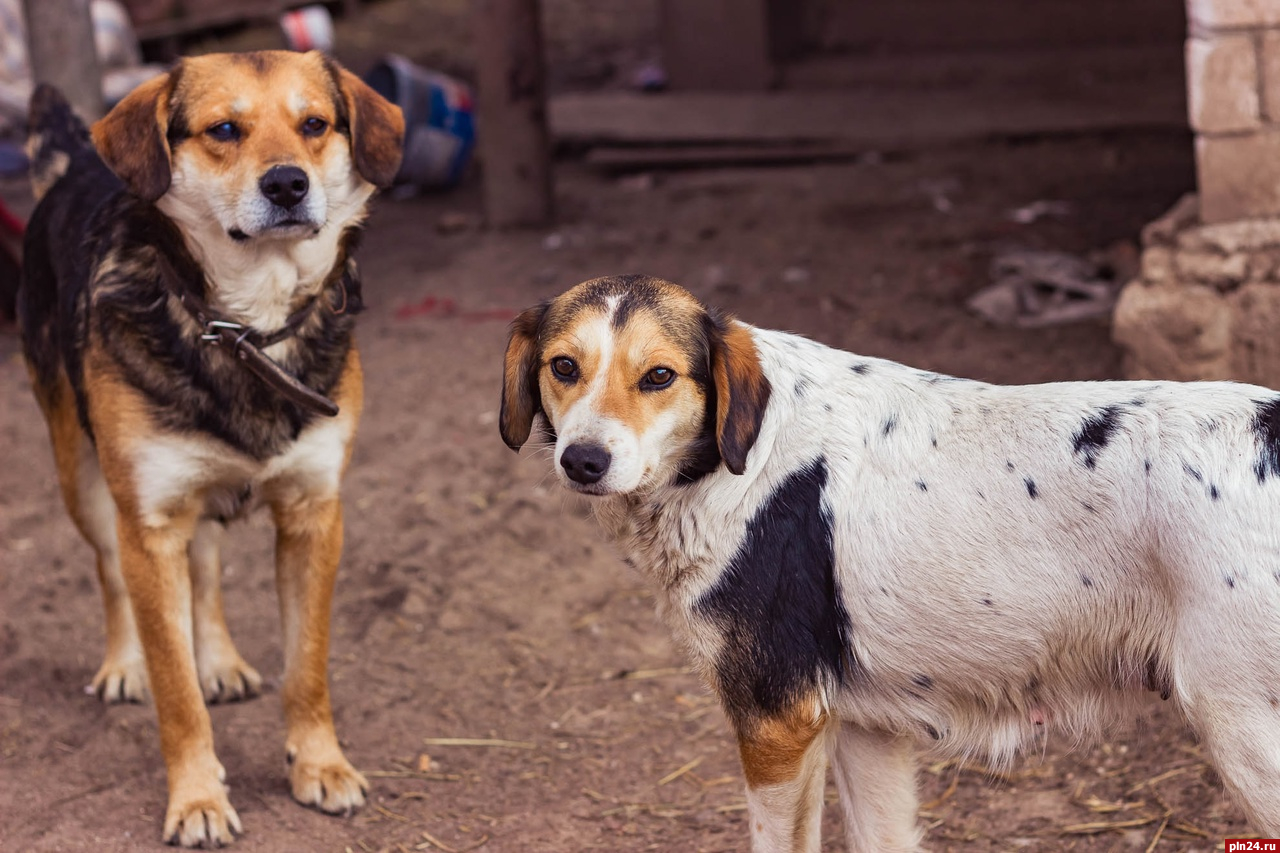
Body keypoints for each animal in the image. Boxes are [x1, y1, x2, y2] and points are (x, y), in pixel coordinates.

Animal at [17, 53, 401, 845]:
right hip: (84, 481)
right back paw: (124, 664)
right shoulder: (149, 527)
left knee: (208, 568)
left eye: (314, 124)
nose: (287, 184)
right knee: (110, 574)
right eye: (224, 130)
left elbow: (307, 666)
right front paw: (196, 798)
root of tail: (76, 168)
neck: (246, 326)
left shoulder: (316, 514)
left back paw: (220, 659)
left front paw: (320, 763)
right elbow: (176, 692)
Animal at [496, 275, 1280, 845]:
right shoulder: (868, 728)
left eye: (658, 376)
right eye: (563, 367)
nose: (583, 461)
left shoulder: (776, 721)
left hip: (1240, 725)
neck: (740, 452)